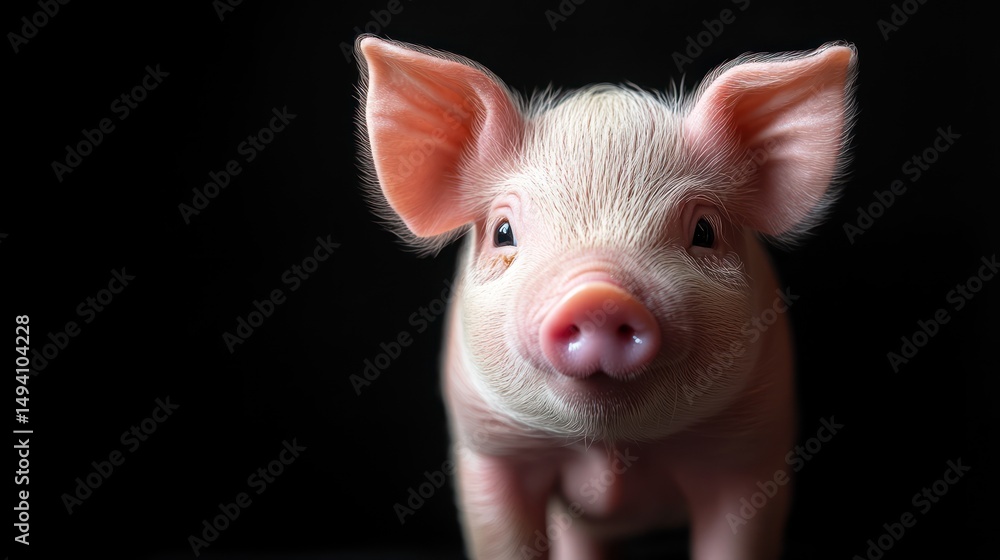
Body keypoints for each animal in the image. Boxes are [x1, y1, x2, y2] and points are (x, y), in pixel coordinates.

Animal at [354, 34, 857, 560]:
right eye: (502, 231)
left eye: (705, 231)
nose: (598, 297)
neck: (610, 449)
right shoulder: (490, 451)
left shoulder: (751, 452)